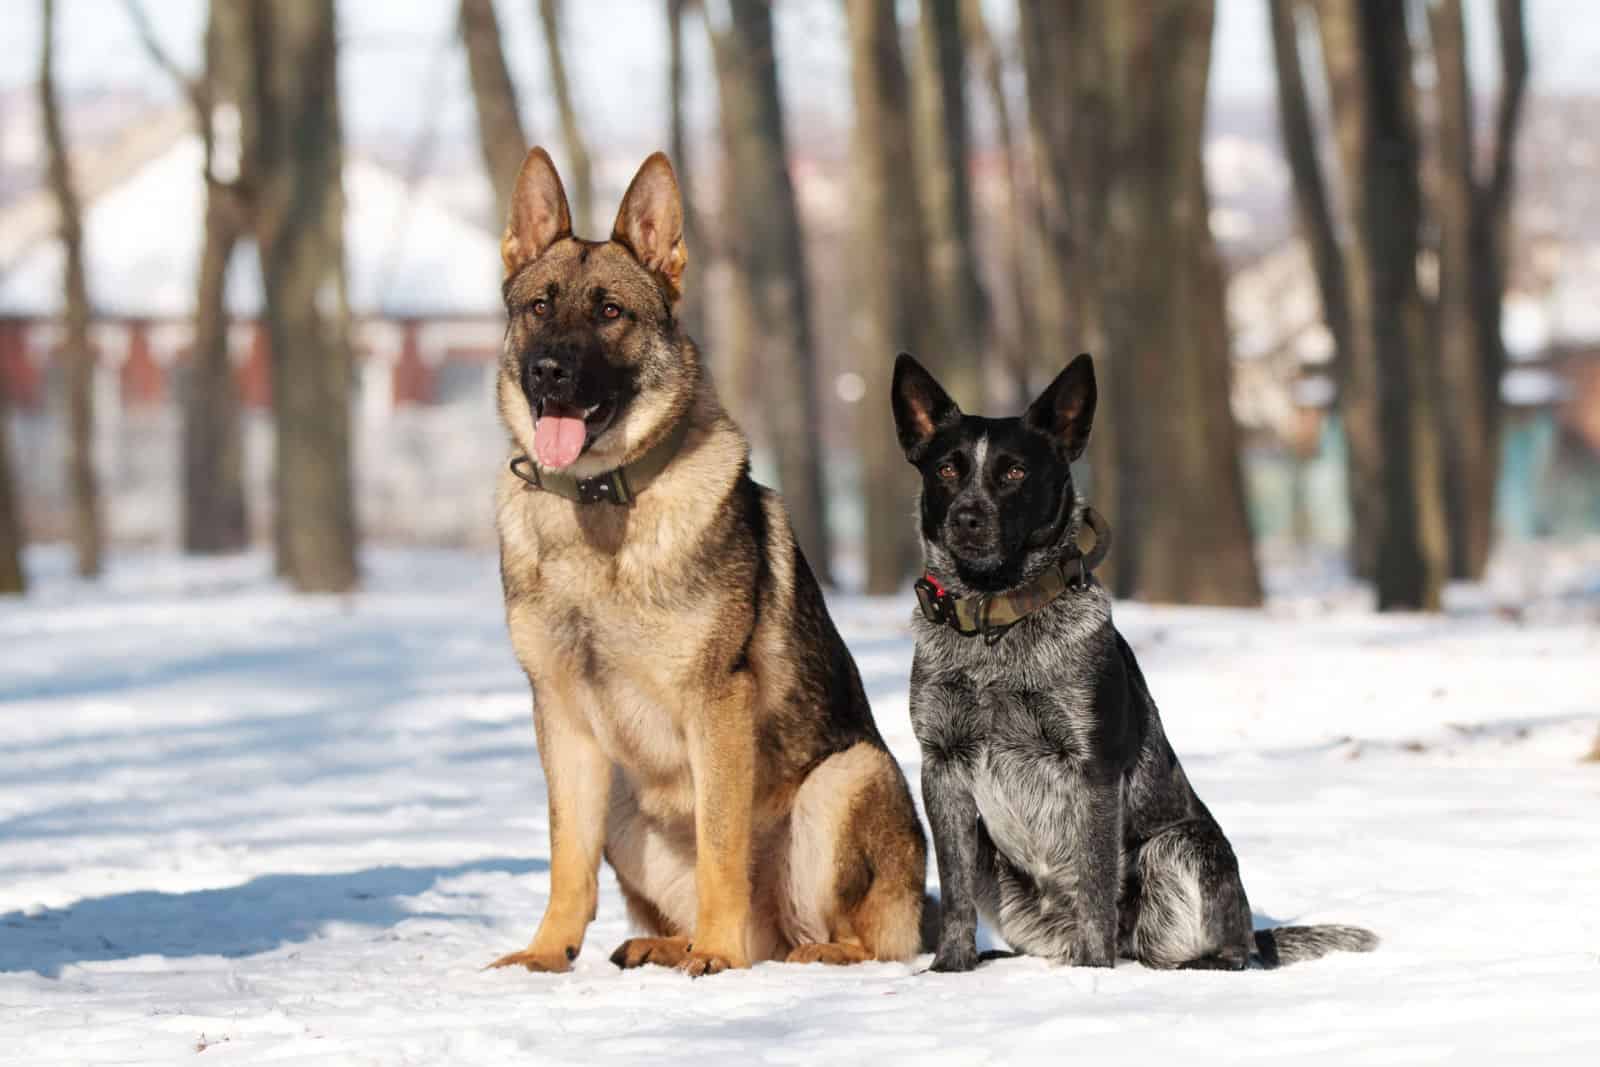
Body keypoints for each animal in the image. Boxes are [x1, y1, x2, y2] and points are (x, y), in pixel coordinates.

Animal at [486, 147, 928, 979]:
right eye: (539, 307)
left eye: (610, 312)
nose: (550, 372)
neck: (602, 504)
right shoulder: (561, 718)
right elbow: (566, 856)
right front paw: (547, 952)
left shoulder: (715, 706)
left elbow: (720, 843)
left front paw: (716, 954)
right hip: (625, 804)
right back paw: (669, 942)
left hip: (844, 778)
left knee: (863, 939)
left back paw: (784, 949)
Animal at [889, 355, 1376, 972]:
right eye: (947, 470)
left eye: (1015, 472)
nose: (967, 518)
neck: (998, 620)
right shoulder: (942, 767)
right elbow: (953, 894)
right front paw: (949, 970)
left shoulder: (1091, 769)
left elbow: (1096, 885)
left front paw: (1092, 974)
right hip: (993, 860)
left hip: (1180, 847)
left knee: (1212, 947)